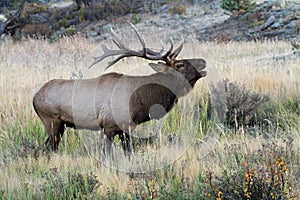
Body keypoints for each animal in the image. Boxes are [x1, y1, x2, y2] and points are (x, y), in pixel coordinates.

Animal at [32, 23, 206, 156]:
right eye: (180, 65)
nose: (204, 61)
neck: (140, 101)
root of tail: (34, 97)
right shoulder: (109, 126)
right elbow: (107, 153)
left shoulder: (126, 129)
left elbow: (128, 152)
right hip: (51, 121)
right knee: (50, 148)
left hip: (59, 126)